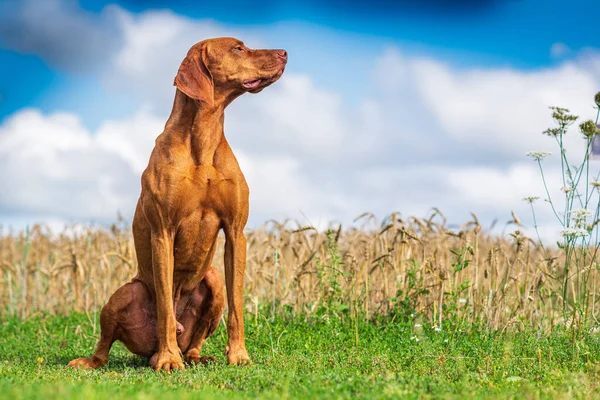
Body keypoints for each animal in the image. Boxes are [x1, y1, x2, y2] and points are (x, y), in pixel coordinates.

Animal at [67, 37, 288, 372]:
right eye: (238, 48)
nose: (284, 52)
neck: (204, 138)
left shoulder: (236, 232)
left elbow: (237, 307)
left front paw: (238, 355)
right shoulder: (163, 232)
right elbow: (165, 310)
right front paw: (168, 359)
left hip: (213, 280)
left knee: (195, 340)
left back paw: (198, 356)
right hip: (125, 292)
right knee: (106, 346)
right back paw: (108, 359)